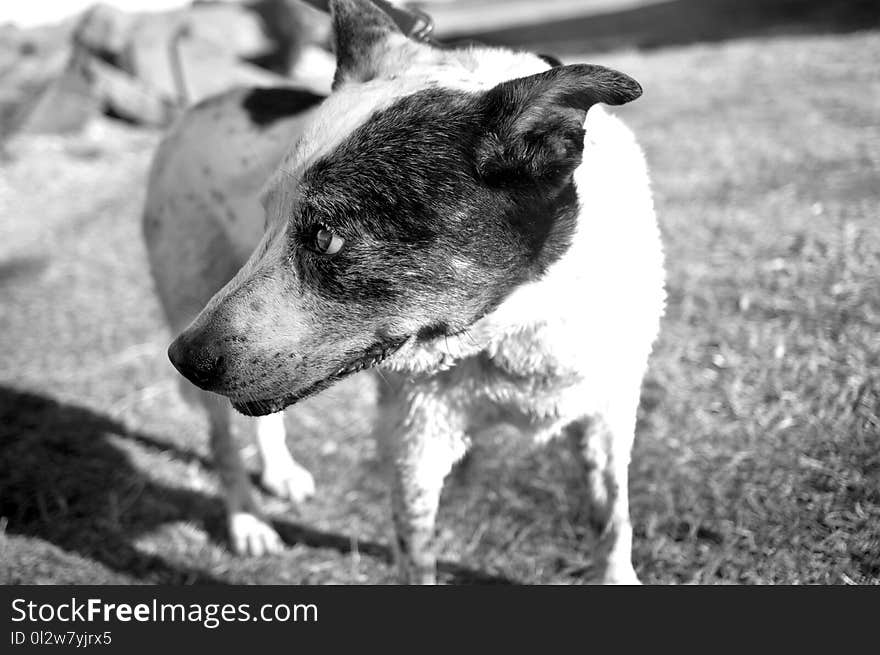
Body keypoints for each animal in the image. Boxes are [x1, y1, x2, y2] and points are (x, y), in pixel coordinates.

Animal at [144, 0, 664, 584]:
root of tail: (195, 105)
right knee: (220, 438)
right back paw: (248, 521)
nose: (183, 359)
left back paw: (280, 473)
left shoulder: (607, 413)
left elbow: (612, 519)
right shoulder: (416, 438)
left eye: (326, 236)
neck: (517, 325)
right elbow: (416, 550)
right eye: (266, 220)